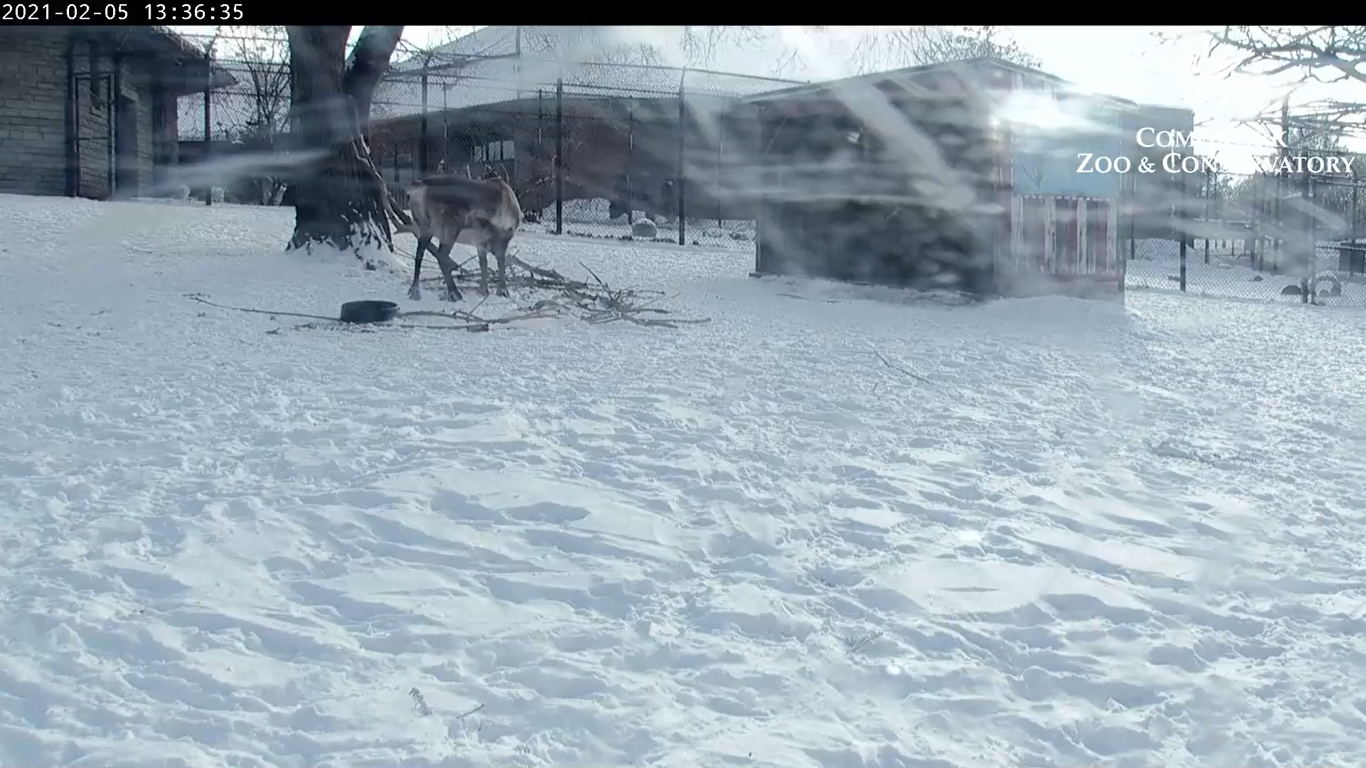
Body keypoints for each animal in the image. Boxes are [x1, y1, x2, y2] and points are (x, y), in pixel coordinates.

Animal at [394, 171, 523, 302]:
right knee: (441, 255)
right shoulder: (501, 239)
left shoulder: (480, 243)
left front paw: (483, 291)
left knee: (419, 254)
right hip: (449, 230)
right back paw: (454, 293)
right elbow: (501, 262)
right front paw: (503, 291)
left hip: (424, 228)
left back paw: (414, 292)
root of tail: (419, 187)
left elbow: (484, 264)